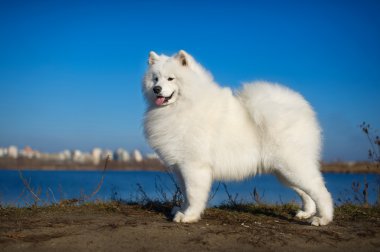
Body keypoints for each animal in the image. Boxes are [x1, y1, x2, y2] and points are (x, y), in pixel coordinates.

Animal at [142, 50, 332, 225]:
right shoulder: (180, 167)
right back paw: (305, 213)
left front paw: (189, 216)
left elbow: (193, 194)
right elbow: (185, 193)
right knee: (306, 193)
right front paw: (181, 210)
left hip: (292, 166)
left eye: (171, 79)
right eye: (155, 79)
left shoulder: (193, 166)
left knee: (320, 190)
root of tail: (301, 108)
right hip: (283, 172)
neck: (183, 106)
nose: (156, 89)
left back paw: (322, 218)